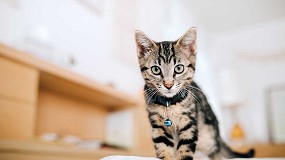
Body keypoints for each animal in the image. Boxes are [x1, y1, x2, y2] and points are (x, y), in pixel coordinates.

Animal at [134, 27, 254, 160]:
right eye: (155, 70)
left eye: (179, 68)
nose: (168, 85)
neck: (170, 104)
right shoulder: (158, 126)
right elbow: (163, 147)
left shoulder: (189, 122)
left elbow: (185, 149)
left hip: (208, 138)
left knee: (216, 153)